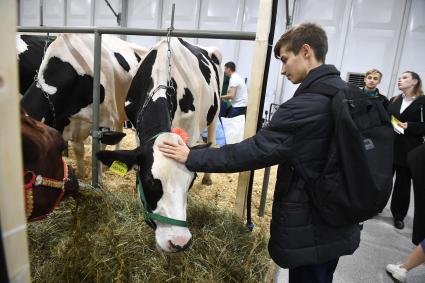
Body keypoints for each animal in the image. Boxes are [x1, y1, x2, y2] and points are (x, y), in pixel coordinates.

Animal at [21, 33, 148, 178]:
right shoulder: (70, 122)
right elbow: (78, 149)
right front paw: (81, 174)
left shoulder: (106, 120)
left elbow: (99, 149)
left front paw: (98, 176)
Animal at [96, 37, 222, 253]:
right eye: (150, 181)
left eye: (190, 182)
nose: (179, 242)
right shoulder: (138, 131)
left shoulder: (191, 131)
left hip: (215, 110)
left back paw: (208, 178)